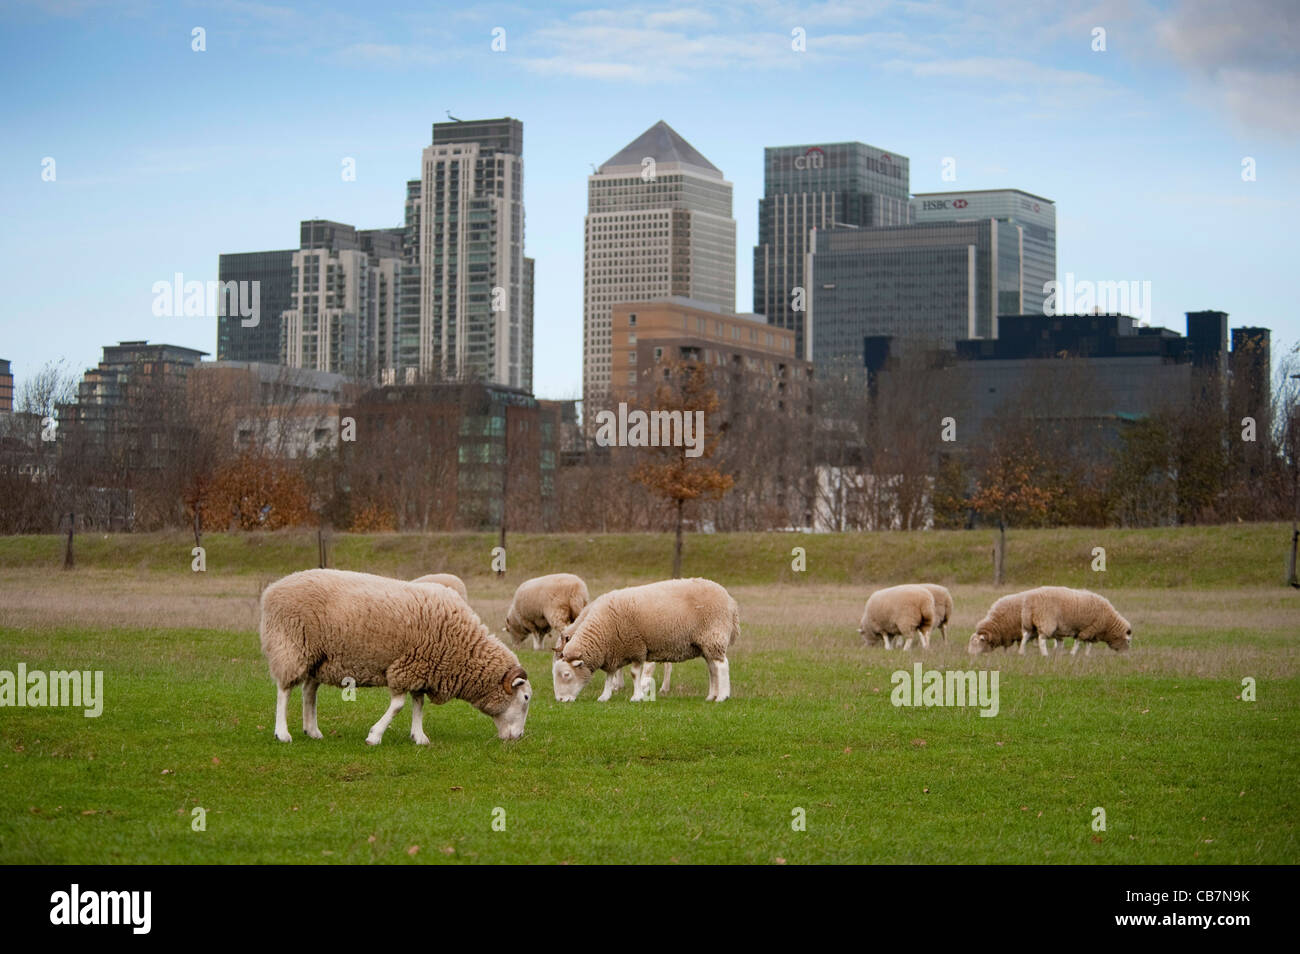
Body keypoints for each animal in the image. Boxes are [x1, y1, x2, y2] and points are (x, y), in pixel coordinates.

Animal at [257, 571, 527, 743]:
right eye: (525, 698)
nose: (520, 737)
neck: (460, 645)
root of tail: (271, 590)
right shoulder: (404, 667)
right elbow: (398, 705)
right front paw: (374, 736)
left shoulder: (422, 668)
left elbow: (418, 704)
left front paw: (419, 736)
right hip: (290, 646)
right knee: (284, 690)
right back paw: (282, 733)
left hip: (318, 657)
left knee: (309, 692)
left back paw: (312, 730)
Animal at [551, 574, 743, 701]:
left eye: (566, 674)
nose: (560, 700)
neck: (602, 628)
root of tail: (731, 601)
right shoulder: (613, 651)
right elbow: (610, 675)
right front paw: (605, 696)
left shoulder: (636, 646)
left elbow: (635, 673)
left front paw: (637, 697)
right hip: (705, 643)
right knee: (712, 668)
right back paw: (711, 696)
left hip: (714, 635)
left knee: (722, 665)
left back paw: (722, 696)